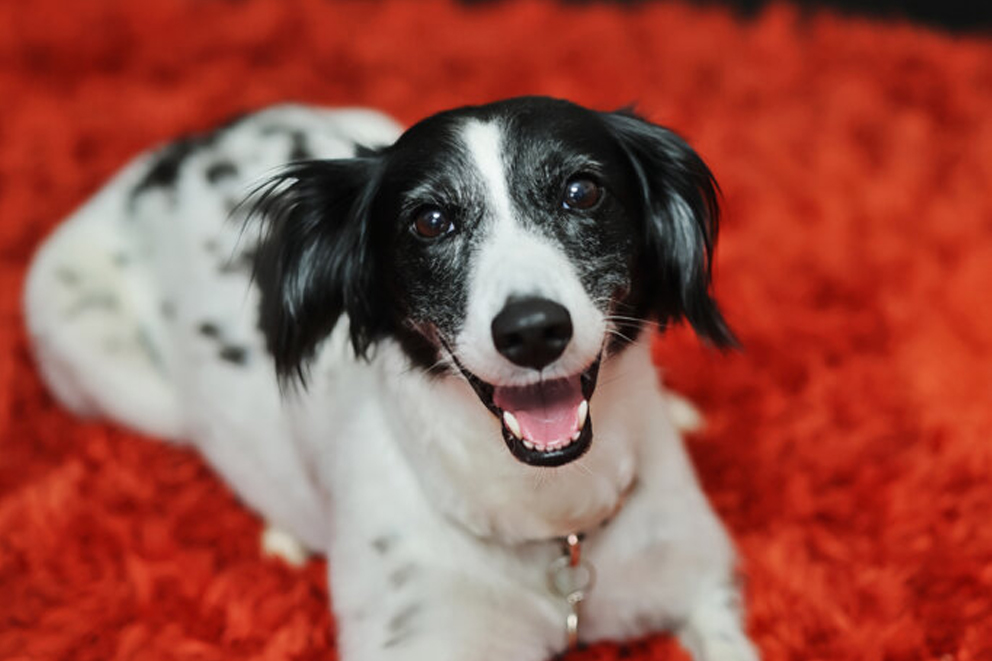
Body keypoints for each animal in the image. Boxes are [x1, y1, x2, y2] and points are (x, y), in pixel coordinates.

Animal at [25, 97, 759, 661]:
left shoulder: (698, 575)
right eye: (430, 220)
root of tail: (170, 154)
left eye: (583, 191)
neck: (555, 522)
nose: (531, 330)